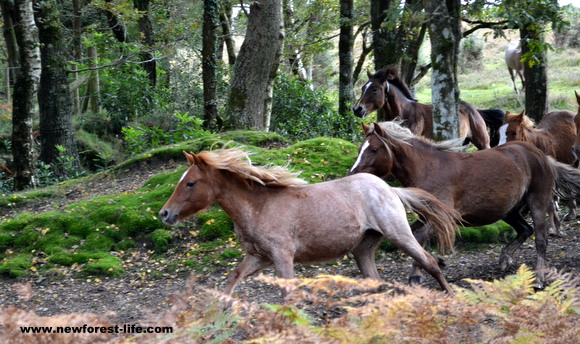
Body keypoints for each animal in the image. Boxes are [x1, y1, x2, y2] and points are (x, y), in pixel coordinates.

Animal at [159, 148, 462, 296]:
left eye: (190, 183)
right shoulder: (259, 256)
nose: (164, 213)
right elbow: (233, 279)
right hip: (363, 248)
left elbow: (288, 294)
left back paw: (452, 297)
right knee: (375, 282)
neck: (259, 206)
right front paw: (219, 317)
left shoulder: (282, 256)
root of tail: (390, 189)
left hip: (399, 234)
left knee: (429, 262)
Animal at [346, 121, 580, 288]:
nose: (352, 174)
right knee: (525, 229)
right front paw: (438, 261)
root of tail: (542, 156)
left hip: (537, 202)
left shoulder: (443, 217)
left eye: (374, 149)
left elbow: (418, 239)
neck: (428, 169)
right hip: (508, 210)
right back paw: (505, 259)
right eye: (359, 149)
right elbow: (414, 237)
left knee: (540, 239)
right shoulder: (426, 217)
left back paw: (539, 279)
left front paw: (416, 276)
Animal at [352, 66, 492, 150]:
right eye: (363, 87)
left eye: (374, 89)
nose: (357, 109)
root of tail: (475, 111)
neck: (405, 113)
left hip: (483, 143)